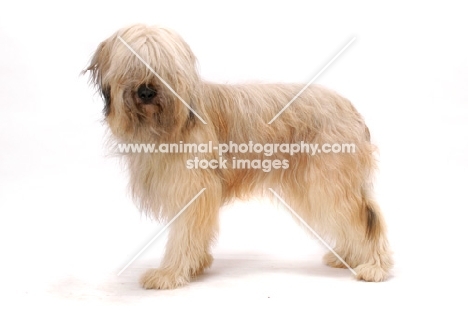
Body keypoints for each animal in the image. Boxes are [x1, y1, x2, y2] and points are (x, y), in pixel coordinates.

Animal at [86, 24, 394, 290]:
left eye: (163, 66)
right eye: (131, 63)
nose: (147, 91)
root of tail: (350, 107)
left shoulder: (193, 188)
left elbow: (184, 234)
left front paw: (169, 273)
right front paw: (195, 266)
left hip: (329, 181)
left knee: (366, 219)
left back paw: (374, 267)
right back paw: (349, 257)